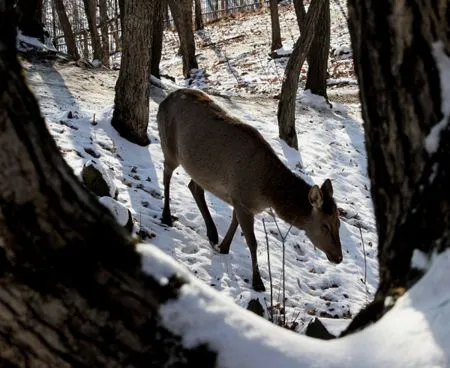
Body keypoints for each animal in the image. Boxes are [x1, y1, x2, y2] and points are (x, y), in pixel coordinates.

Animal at [156, 88, 342, 290]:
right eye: (325, 226)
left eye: (339, 223)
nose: (339, 257)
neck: (267, 192)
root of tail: (165, 100)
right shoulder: (243, 201)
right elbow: (252, 242)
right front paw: (258, 282)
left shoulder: (238, 200)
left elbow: (234, 223)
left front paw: (223, 247)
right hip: (169, 147)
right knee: (166, 174)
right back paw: (166, 216)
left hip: (200, 170)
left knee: (194, 186)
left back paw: (212, 233)